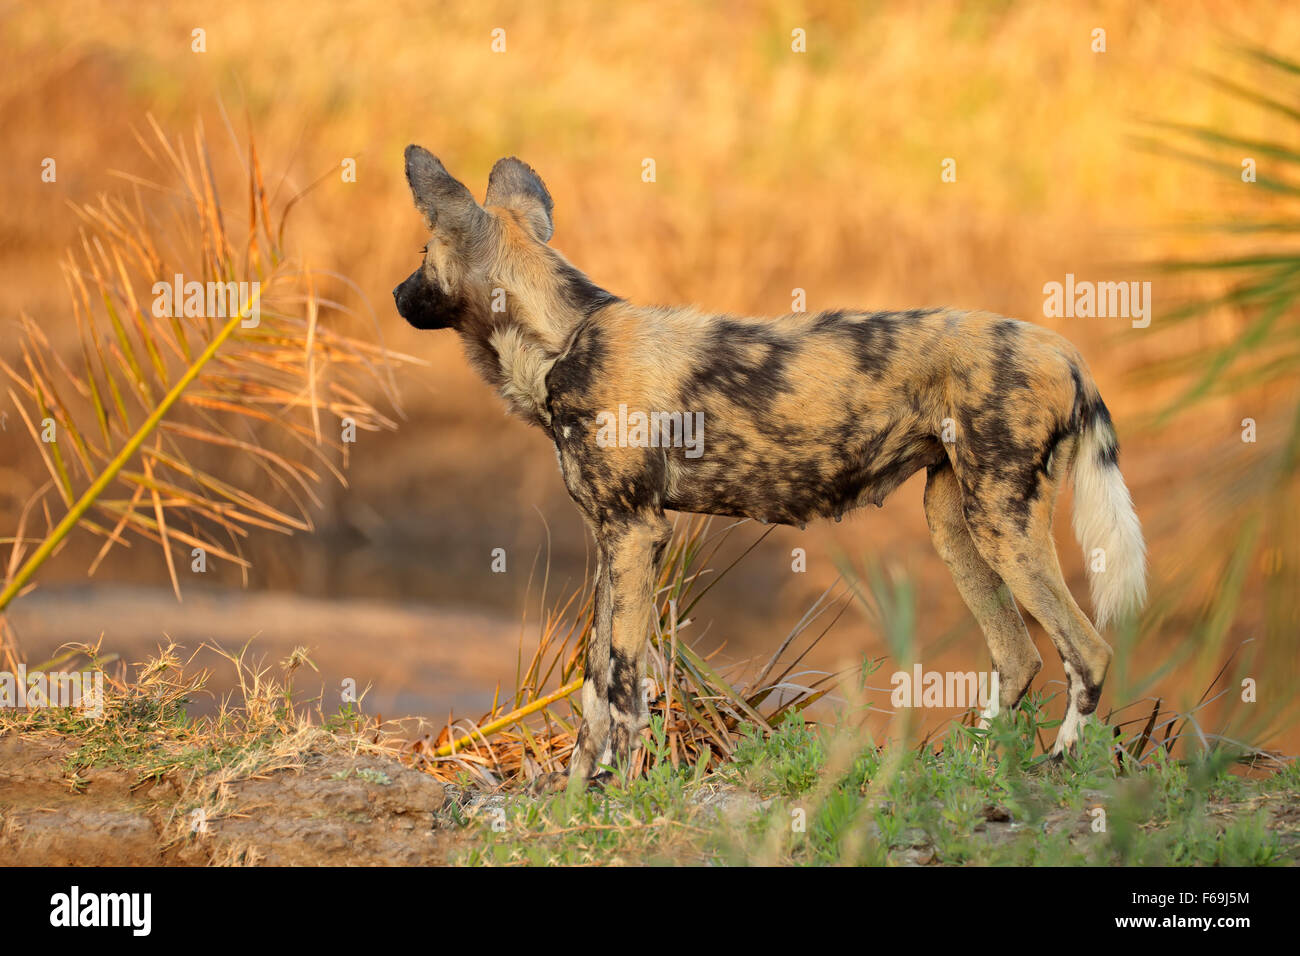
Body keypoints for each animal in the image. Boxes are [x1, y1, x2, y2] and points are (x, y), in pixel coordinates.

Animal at [390, 145, 1144, 790]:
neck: (561, 341)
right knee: (1018, 656)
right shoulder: (611, 540)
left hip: (1002, 525)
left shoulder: (634, 533)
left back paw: (1056, 767)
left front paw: (616, 791)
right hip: (958, 524)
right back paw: (970, 771)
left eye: (423, 253)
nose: (396, 293)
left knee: (1089, 652)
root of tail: (1066, 350)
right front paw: (575, 789)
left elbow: (623, 686)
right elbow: (596, 682)